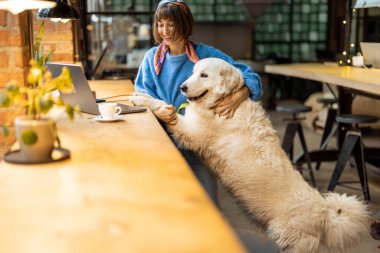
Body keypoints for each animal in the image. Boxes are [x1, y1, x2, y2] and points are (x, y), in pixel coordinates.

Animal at [131, 57, 372, 253]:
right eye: (193, 72)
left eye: (204, 75)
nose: (183, 87)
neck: (221, 104)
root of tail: (324, 214)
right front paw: (141, 95)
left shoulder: (193, 132)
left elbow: (163, 106)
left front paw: (143, 101)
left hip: (288, 239)